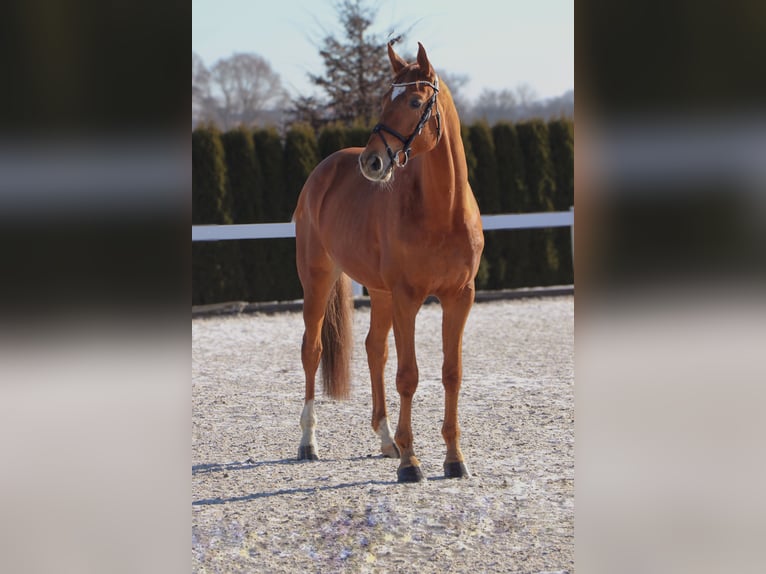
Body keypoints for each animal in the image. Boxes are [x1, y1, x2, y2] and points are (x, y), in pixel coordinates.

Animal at [294, 41, 486, 482]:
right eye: (384, 101)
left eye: (415, 101)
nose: (371, 162)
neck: (443, 210)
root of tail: (321, 173)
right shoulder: (407, 298)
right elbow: (408, 376)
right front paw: (410, 462)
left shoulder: (460, 297)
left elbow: (451, 373)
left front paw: (454, 459)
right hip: (317, 279)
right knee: (312, 349)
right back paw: (309, 442)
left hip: (379, 293)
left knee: (373, 349)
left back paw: (384, 440)